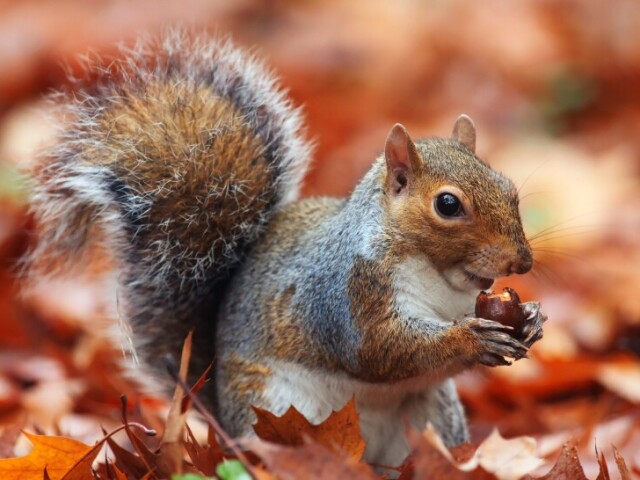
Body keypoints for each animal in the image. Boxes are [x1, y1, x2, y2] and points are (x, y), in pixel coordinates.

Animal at [26, 31, 544, 466]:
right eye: (448, 204)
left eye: (508, 188)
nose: (521, 261)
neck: (439, 278)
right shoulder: (344, 295)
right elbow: (379, 350)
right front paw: (470, 339)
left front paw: (531, 321)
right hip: (275, 410)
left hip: (432, 415)